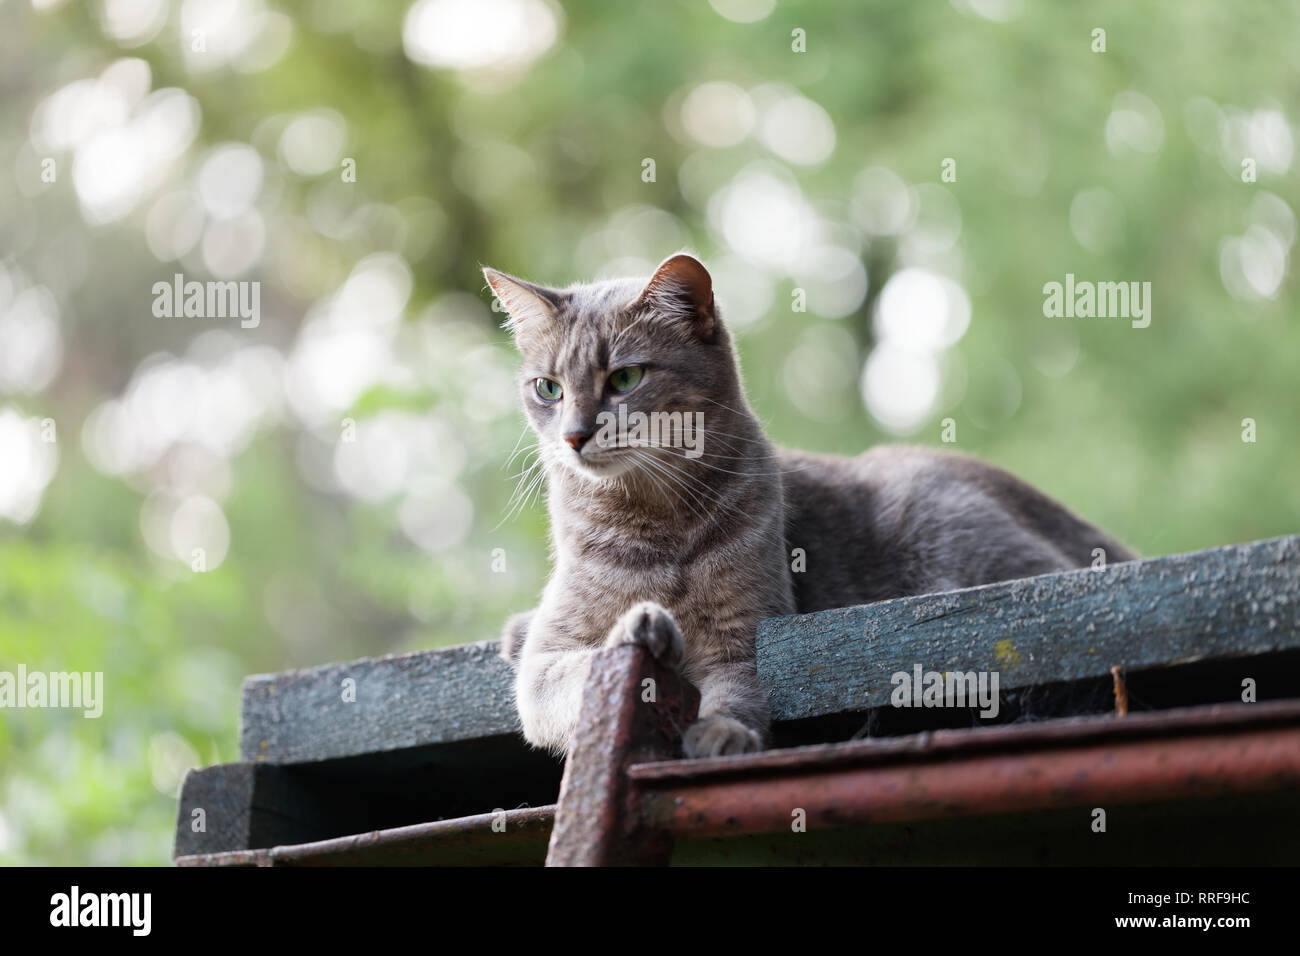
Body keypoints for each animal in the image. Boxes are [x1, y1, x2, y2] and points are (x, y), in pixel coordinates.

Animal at [483, 256, 1133, 764]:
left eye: (624, 378)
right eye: (548, 389)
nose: (572, 436)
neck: (654, 524)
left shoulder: (745, 630)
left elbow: (739, 691)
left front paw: (722, 731)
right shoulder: (546, 664)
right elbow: (572, 668)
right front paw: (638, 627)